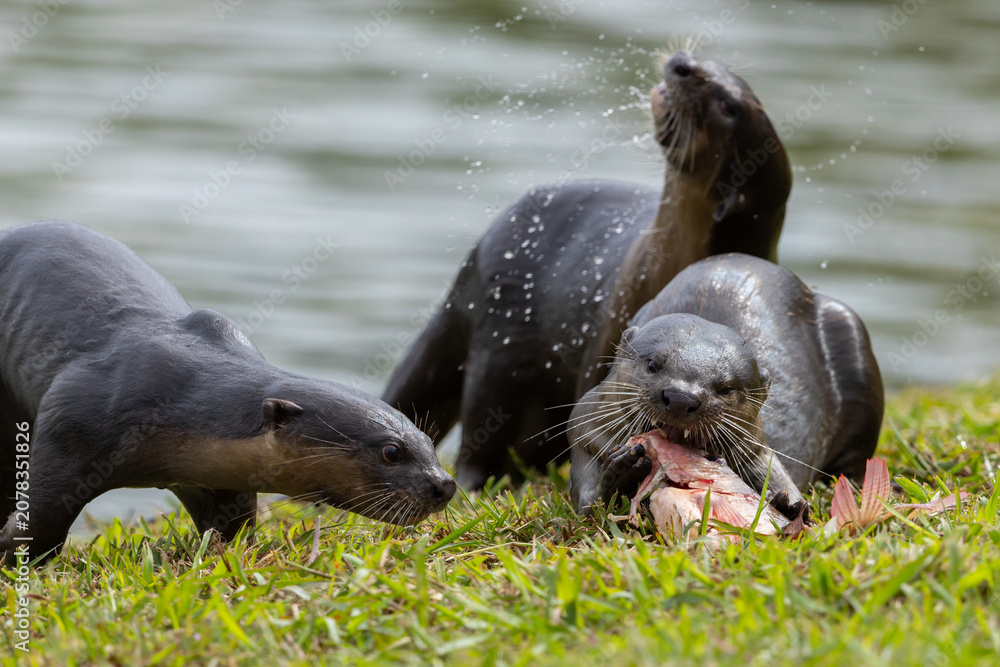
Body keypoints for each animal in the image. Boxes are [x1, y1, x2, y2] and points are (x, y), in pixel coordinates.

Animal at [0, 221, 455, 563]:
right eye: (391, 451)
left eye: (427, 439)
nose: (444, 484)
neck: (176, 404)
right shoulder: (76, 422)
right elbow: (40, 519)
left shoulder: (216, 478)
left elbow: (234, 525)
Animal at [570, 254, 883, 514]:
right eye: (652, 364)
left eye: (726, 388)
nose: (681, 397)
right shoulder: (583, 431)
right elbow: (587, 506)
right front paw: (624, 470)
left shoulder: (759, 450)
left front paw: (786, 505)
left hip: (852, 333)